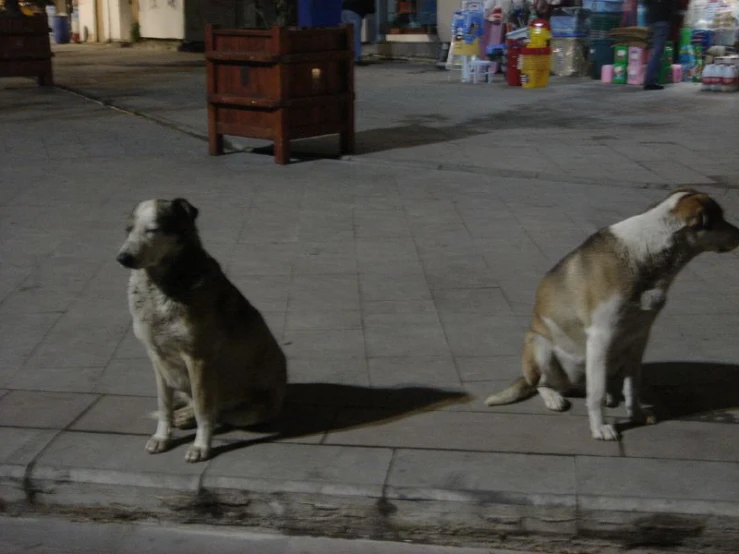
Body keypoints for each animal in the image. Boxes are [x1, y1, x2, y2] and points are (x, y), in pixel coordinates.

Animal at [486, 190, 739, 440]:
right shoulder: (602, 336)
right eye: (720, 218)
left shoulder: (639, 338)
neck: (647, 253)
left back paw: (607, 395)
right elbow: (595, 393)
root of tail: (570, 384)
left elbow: (632, 385)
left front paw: (636, 414)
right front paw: (599, 428)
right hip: (541, 346)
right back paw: (554, 397)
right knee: (542, 383)